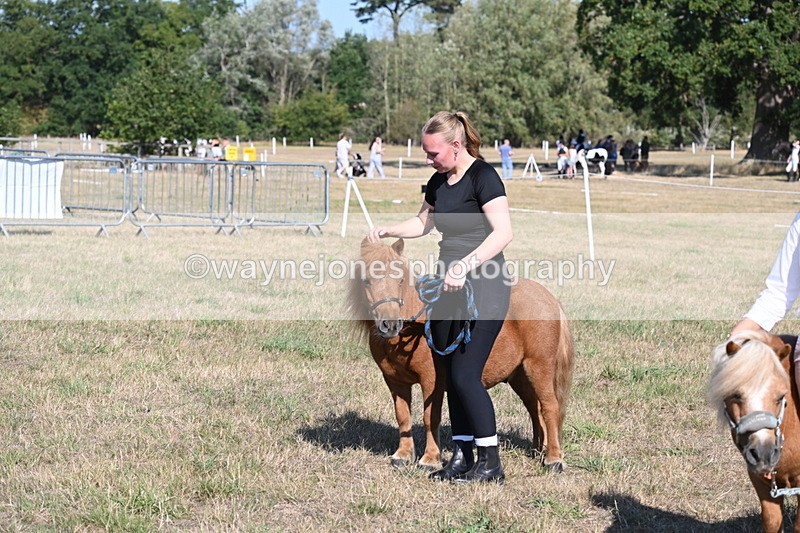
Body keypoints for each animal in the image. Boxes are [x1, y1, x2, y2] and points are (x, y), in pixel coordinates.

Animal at [347, 238, 575, 472]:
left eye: (400, 280)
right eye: (366, 281)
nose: (390, 324)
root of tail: (550, 299)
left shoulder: (431, 381)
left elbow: (430, 417)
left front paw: (430, 459)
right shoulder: (395, 382)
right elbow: (402, 416)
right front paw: (402, 455)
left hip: (539, 367)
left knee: (549, 407)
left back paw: (553, 459)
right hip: (520, 376)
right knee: (534, 409)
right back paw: (539, 450)